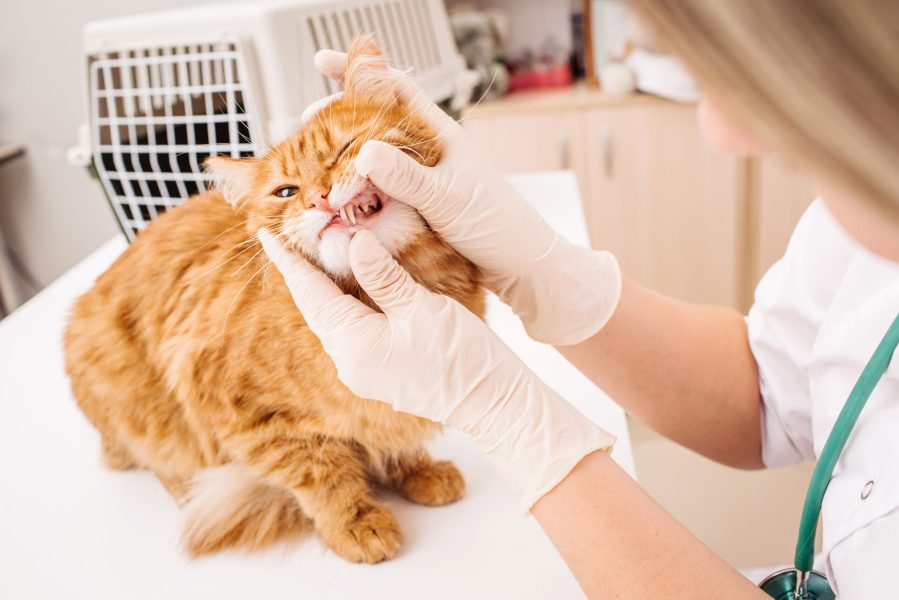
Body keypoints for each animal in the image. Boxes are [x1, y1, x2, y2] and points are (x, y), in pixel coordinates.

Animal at [63, 35, 486, 564]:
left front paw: (417, 470)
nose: (319, 198)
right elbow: (321, 475)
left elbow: (396, 438)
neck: (385, 304)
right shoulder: (245, 415)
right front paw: (356, 521)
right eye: (286, 192)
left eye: (344, 150)